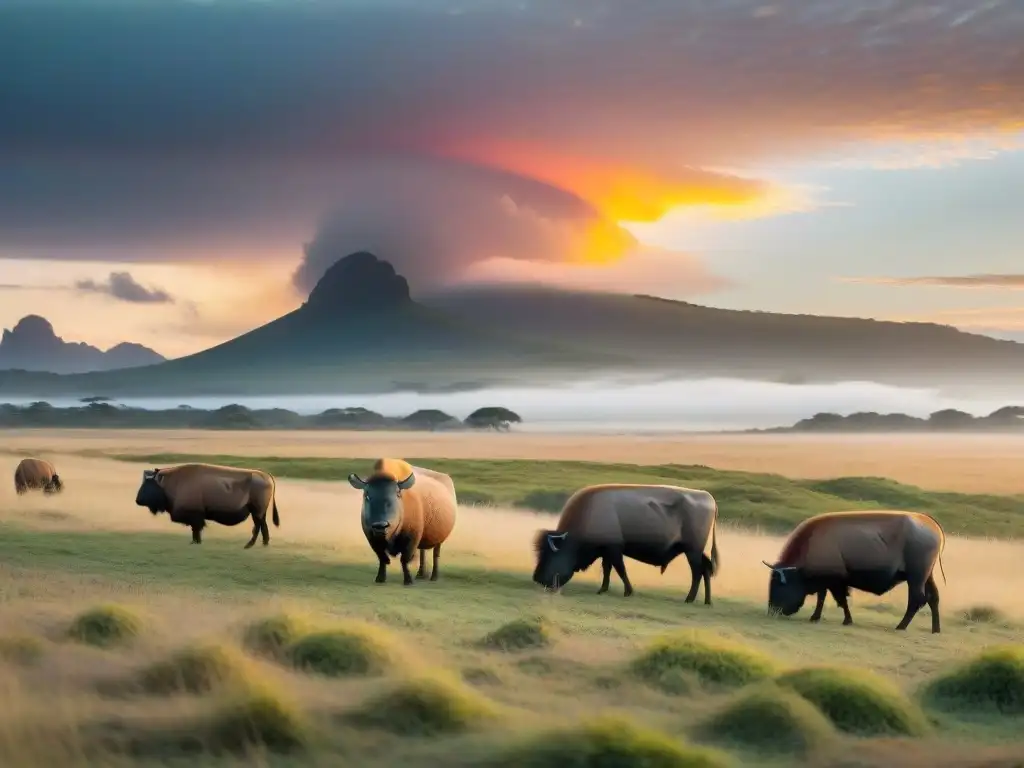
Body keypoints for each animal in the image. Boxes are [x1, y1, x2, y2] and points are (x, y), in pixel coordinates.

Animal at [136, 462, 282, 548]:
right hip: (257, 513)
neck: (173, 482)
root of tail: (264, 475)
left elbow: (196, 529)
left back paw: (250, 545)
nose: (137, 500)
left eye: (148, 485)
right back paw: (262, 544)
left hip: (257, 512)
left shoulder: (195, 516)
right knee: (261, 526)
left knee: (258, 526)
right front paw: (194, 542)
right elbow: (195, 530)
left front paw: (196, 542)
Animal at [532, 483, 724, 606]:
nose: (537, 578)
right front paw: (603, 589)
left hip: (692, 551)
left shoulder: (614, 549)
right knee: (706, 570)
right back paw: (707, 601)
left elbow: (620, 569)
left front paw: (628, 591)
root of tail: (708, 497)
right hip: (696, 551)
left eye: (551, 554)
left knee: (697, 573)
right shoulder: (607, 552)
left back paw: (689, 599)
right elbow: (607, 569)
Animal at [765, 514, 946, 634]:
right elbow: (822, 598)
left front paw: (846, 620)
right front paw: (815, 617)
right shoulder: (828, 582)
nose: (772, 611)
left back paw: (901, 626)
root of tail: (931, 524)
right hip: (927, 576)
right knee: (933, 598)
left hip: (915, 578)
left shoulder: (836, 582)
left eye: (779, 584)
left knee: (917, 600)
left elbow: (840, 600)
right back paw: (935, 629)